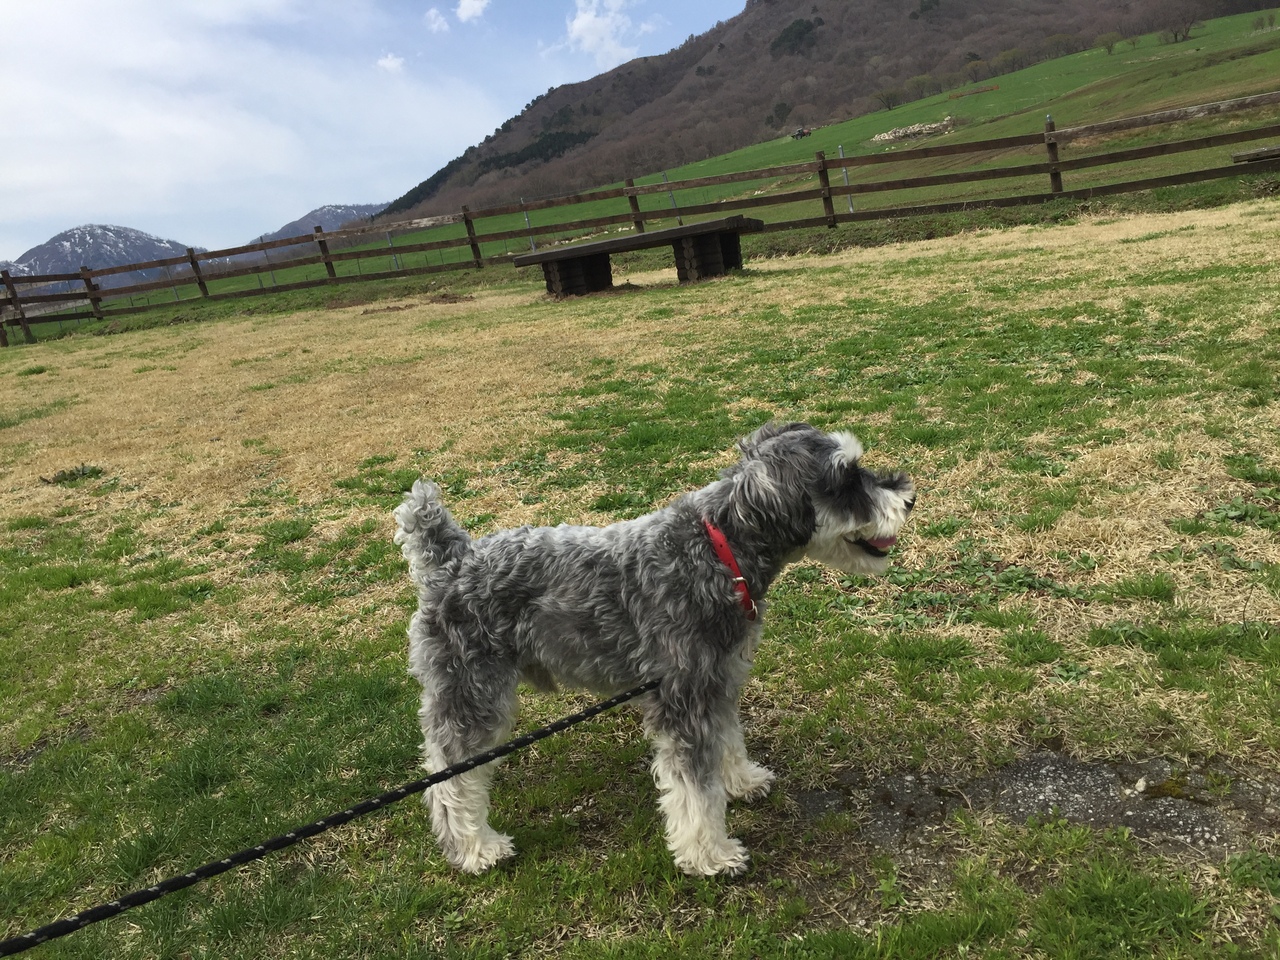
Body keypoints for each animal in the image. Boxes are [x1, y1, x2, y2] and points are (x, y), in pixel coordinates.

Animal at [394, 422, 916, 880]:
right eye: (845, 480)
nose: (909, 498)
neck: (719, 552)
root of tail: (451, 560)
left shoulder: (717, 680)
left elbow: (727, 740)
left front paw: (742, 781)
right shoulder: (682, 699)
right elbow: (694, 791)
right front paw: (710, 856)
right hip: (472, 691)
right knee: (449, 780)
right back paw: (476, 848)